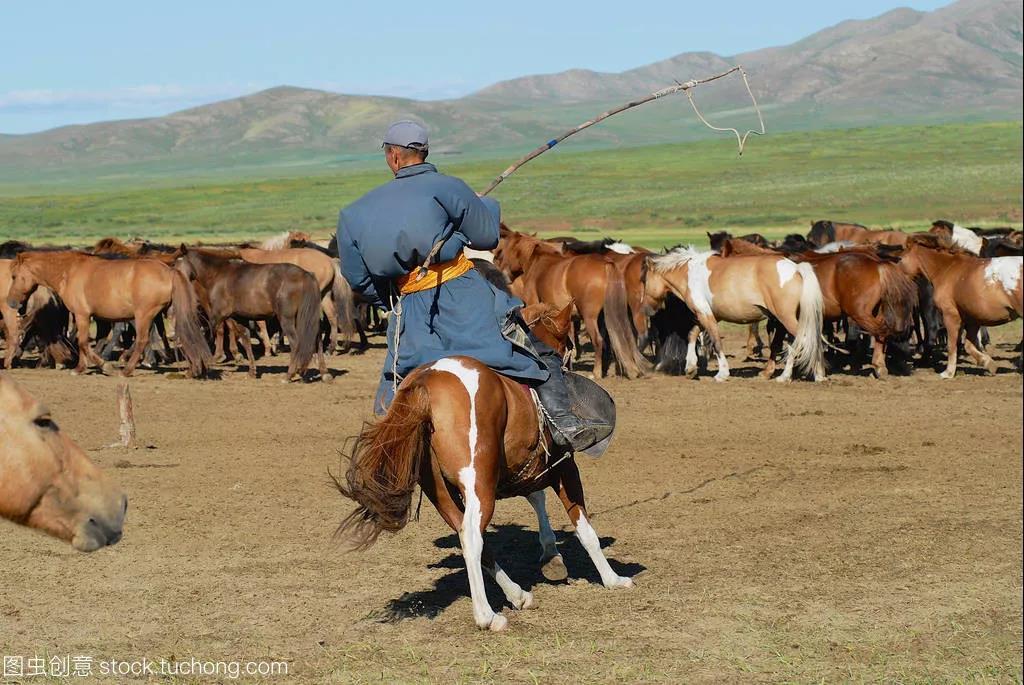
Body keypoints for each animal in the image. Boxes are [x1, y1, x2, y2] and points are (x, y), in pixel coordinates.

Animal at [4, 250, 209, 376]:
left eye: (14, 276)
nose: (10, 302)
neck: (69, 272)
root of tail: (168, 271)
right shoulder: (94, 318)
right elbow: (90, 342)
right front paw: (83, 367)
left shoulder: (82, 315)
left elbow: (83, 343)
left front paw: (99, 366)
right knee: (184, 335)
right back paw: (193, 369)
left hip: (144, 315)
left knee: (142, 341)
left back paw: (126, 370)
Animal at [643, 248, 827, 382]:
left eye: (644, 281)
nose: (645, 308)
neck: (690, 274)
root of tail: (796, 268)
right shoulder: (708, 316)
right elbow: (692, 334)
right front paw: (690, 368)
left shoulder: (706, 315)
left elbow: (716, 342)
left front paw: (722, 374)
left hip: (786, 319)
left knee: (805, 341)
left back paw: (796, 376)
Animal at [901, 233, 1019, 374]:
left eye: (901, 259)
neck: (947, 269)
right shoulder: (970, 315)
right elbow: (965, 342)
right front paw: (986, 362)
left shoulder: (948, 313)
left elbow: (949, 341)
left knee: (932, 331)